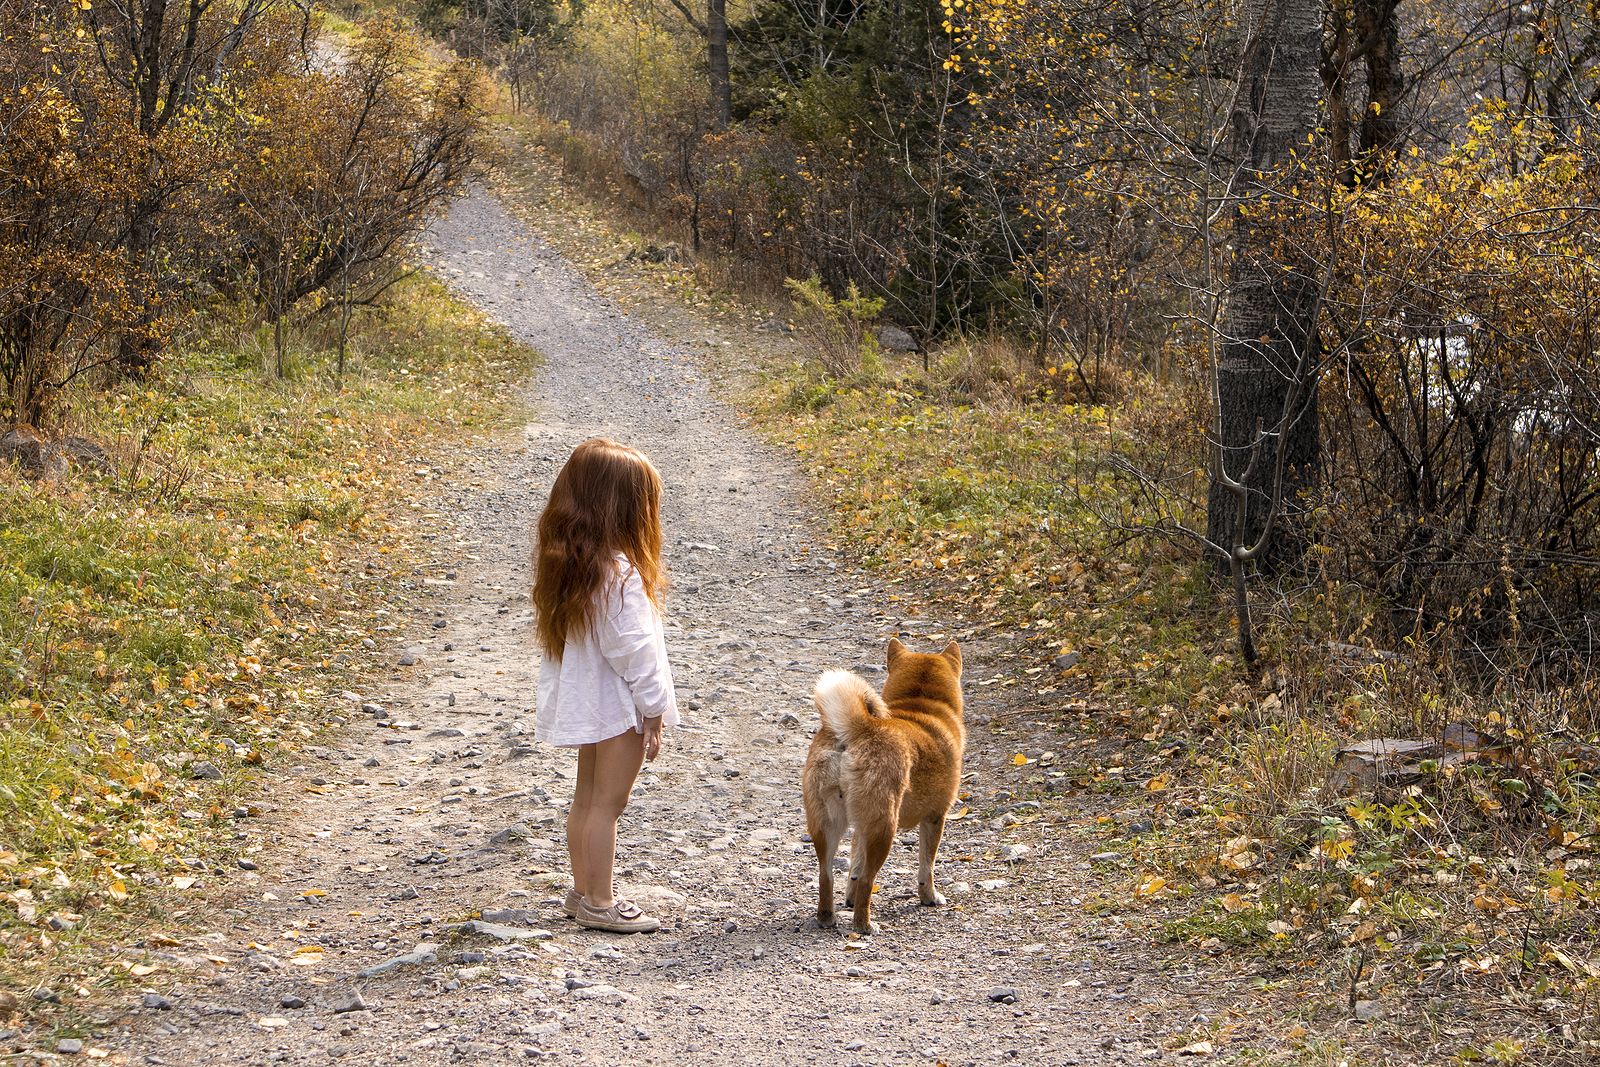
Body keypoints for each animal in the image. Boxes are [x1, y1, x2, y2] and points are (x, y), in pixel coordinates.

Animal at [800, 643, 960, 934]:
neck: (920, 707)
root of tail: (859, 729)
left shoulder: (859, 829)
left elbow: (853, 869)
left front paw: (849, 899)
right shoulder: (935, 818)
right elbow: (926, 867)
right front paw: (929, 897)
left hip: (830, 825)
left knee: (826, 876)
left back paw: (827, 917)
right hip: (884, 828)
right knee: (867, 880)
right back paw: (864, 925)